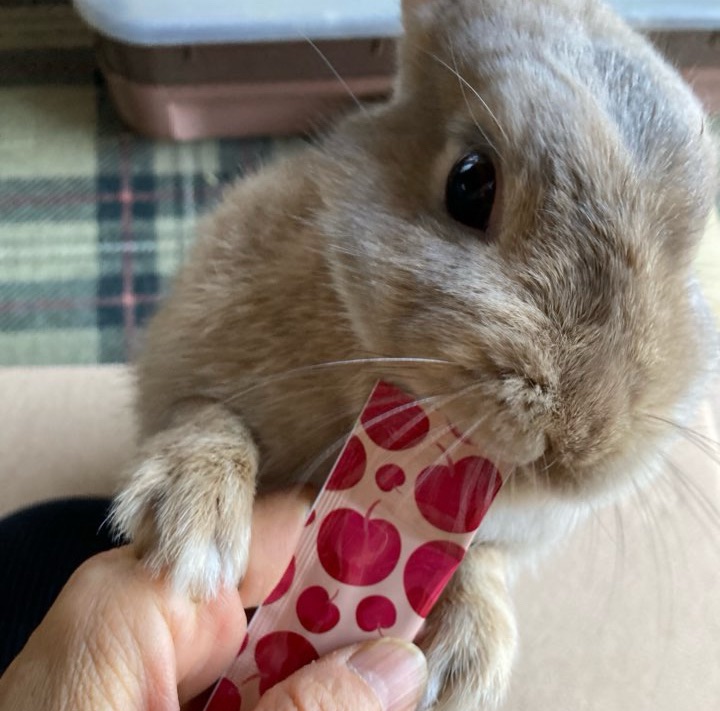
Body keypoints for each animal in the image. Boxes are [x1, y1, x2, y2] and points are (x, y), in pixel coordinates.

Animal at [110, 0, 718, 708]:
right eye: (471, 183)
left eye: (693, 238)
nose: (581, 440)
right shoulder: (185, 358)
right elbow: (206, 415)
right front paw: (190, 530)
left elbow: (482, 559)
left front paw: (465, 670)